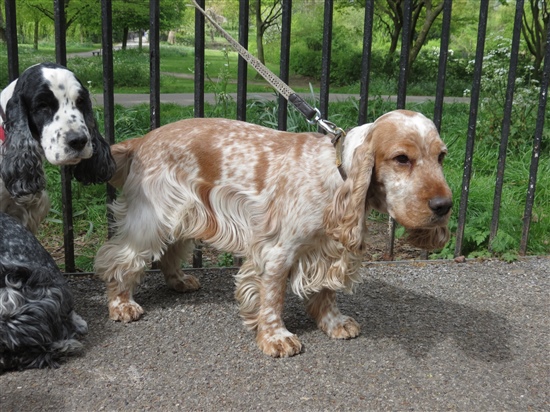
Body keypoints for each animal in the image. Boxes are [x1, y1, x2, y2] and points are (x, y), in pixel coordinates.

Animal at [95, 110, 454, 358]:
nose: (444, 205)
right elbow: (272, 298)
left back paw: (179, 281)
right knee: (119, 259)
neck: (338, 174)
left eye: (441, 156)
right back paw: (121, 304)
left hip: (184, 212)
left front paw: (334, 323)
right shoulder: (277, 252)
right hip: (151, 218)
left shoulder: (326, 247)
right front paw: (275, 338)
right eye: (401, 158)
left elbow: (326, 292)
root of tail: (142, 141)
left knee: (169, 252)